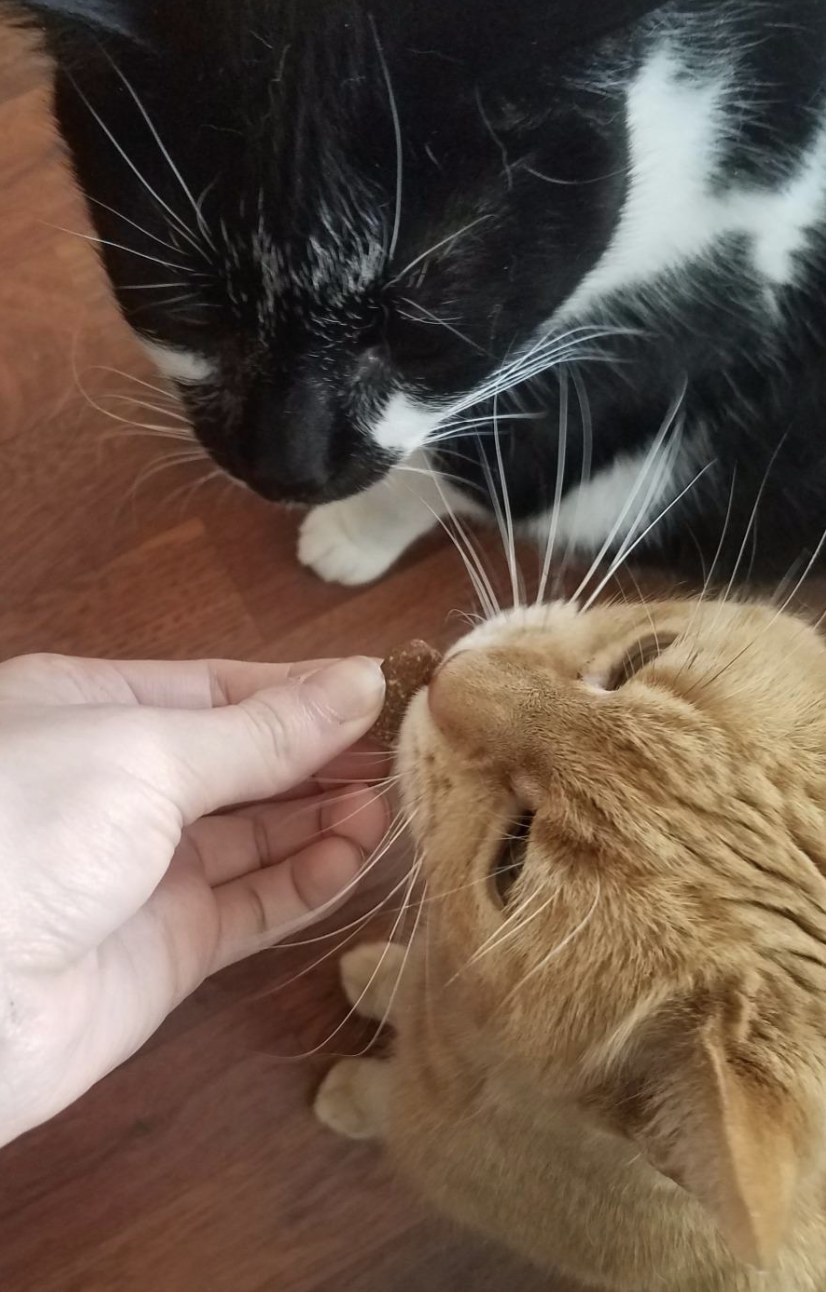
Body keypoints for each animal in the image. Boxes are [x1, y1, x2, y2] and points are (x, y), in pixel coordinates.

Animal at [11, 0, 826, 586]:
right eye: (186, 308)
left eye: (426, 330)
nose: (287, 470)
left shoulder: (713, 289)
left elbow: (512, 449)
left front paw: (356, 532)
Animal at [317, 599, 826, 1286]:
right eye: (642, 659)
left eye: (512, 862)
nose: (446, 673)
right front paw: (381, 975)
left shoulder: (438, 1139)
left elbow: (391, 1105)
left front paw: (349, 1094)